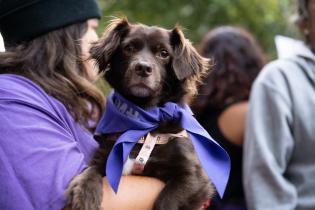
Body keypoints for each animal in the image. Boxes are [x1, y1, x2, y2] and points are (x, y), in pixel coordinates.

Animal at [66, 17, 215, 210]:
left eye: (164, 53)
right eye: (129, 48)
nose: (143, 68)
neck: (143, 121)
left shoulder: (194, 175)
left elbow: (167, 201)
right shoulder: (106, 157)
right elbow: (89, 171)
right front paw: (84, 194)